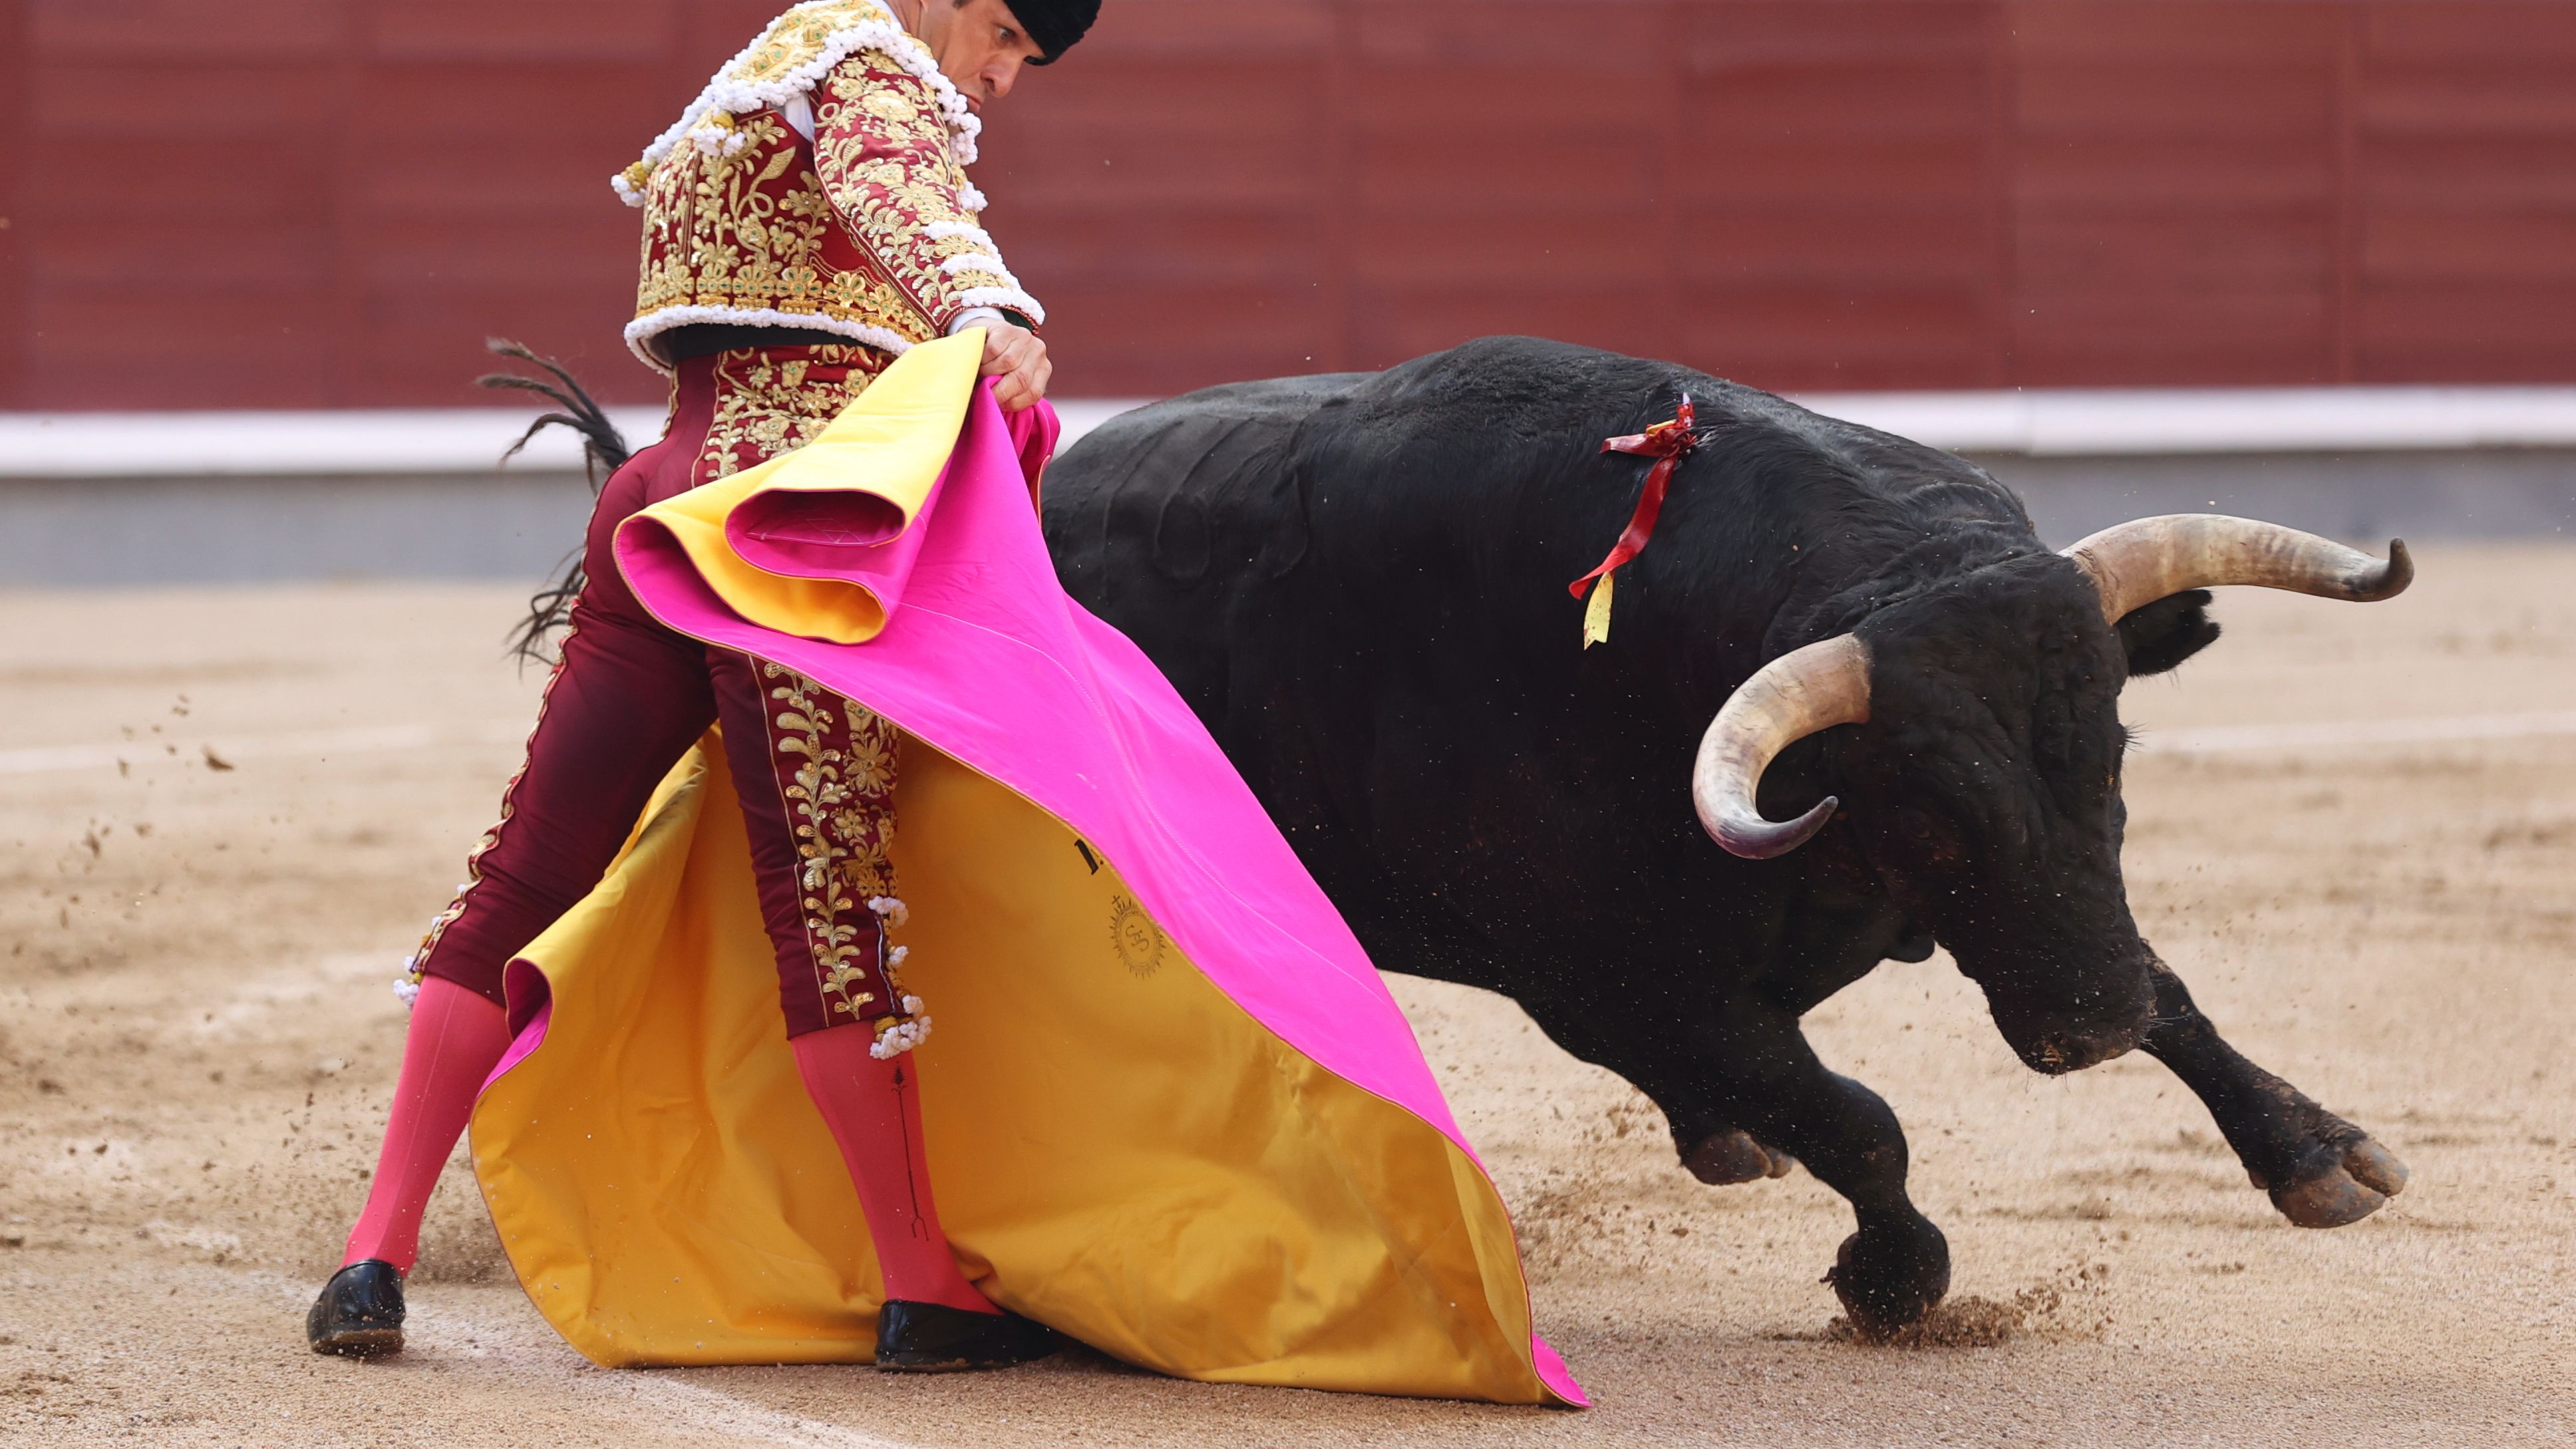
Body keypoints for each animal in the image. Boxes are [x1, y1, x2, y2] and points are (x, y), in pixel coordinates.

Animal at [1041, 335, 2411, 1330]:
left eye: (2114, 754)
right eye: (1929, 812)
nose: (2091, 1028)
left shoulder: (2047, 917)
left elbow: (2169, 984)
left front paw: (2319, 1152)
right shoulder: (1617, 984)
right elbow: (1858, 1119)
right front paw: (1893, 1282)